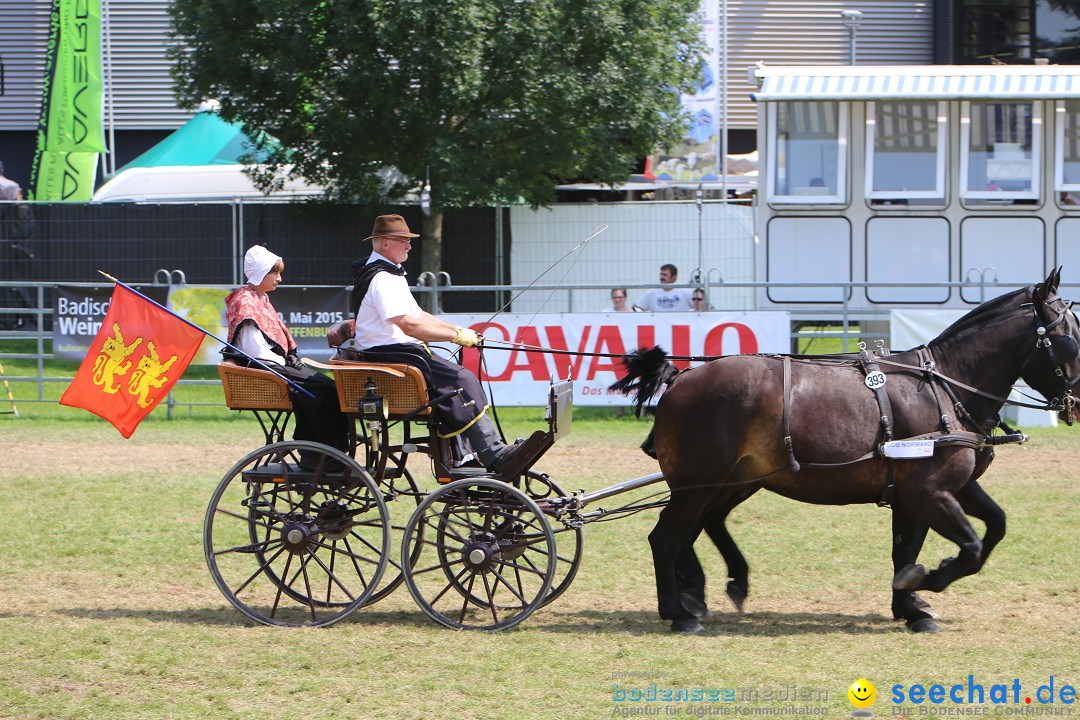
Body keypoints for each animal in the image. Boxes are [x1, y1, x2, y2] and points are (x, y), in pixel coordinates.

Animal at [617, 267, 1080, 634]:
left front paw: (910, 605)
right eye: (1068, 340)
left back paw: (713, 589)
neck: (945, 385)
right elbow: (969, 547)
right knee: (667, 536)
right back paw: (680, 611)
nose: (1076, 402)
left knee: (699, 527)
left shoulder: (939, 489)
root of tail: (681, 378)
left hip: (731, 480)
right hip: (699, 482)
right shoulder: (927, 492)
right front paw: (924, 583)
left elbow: (976, 530)